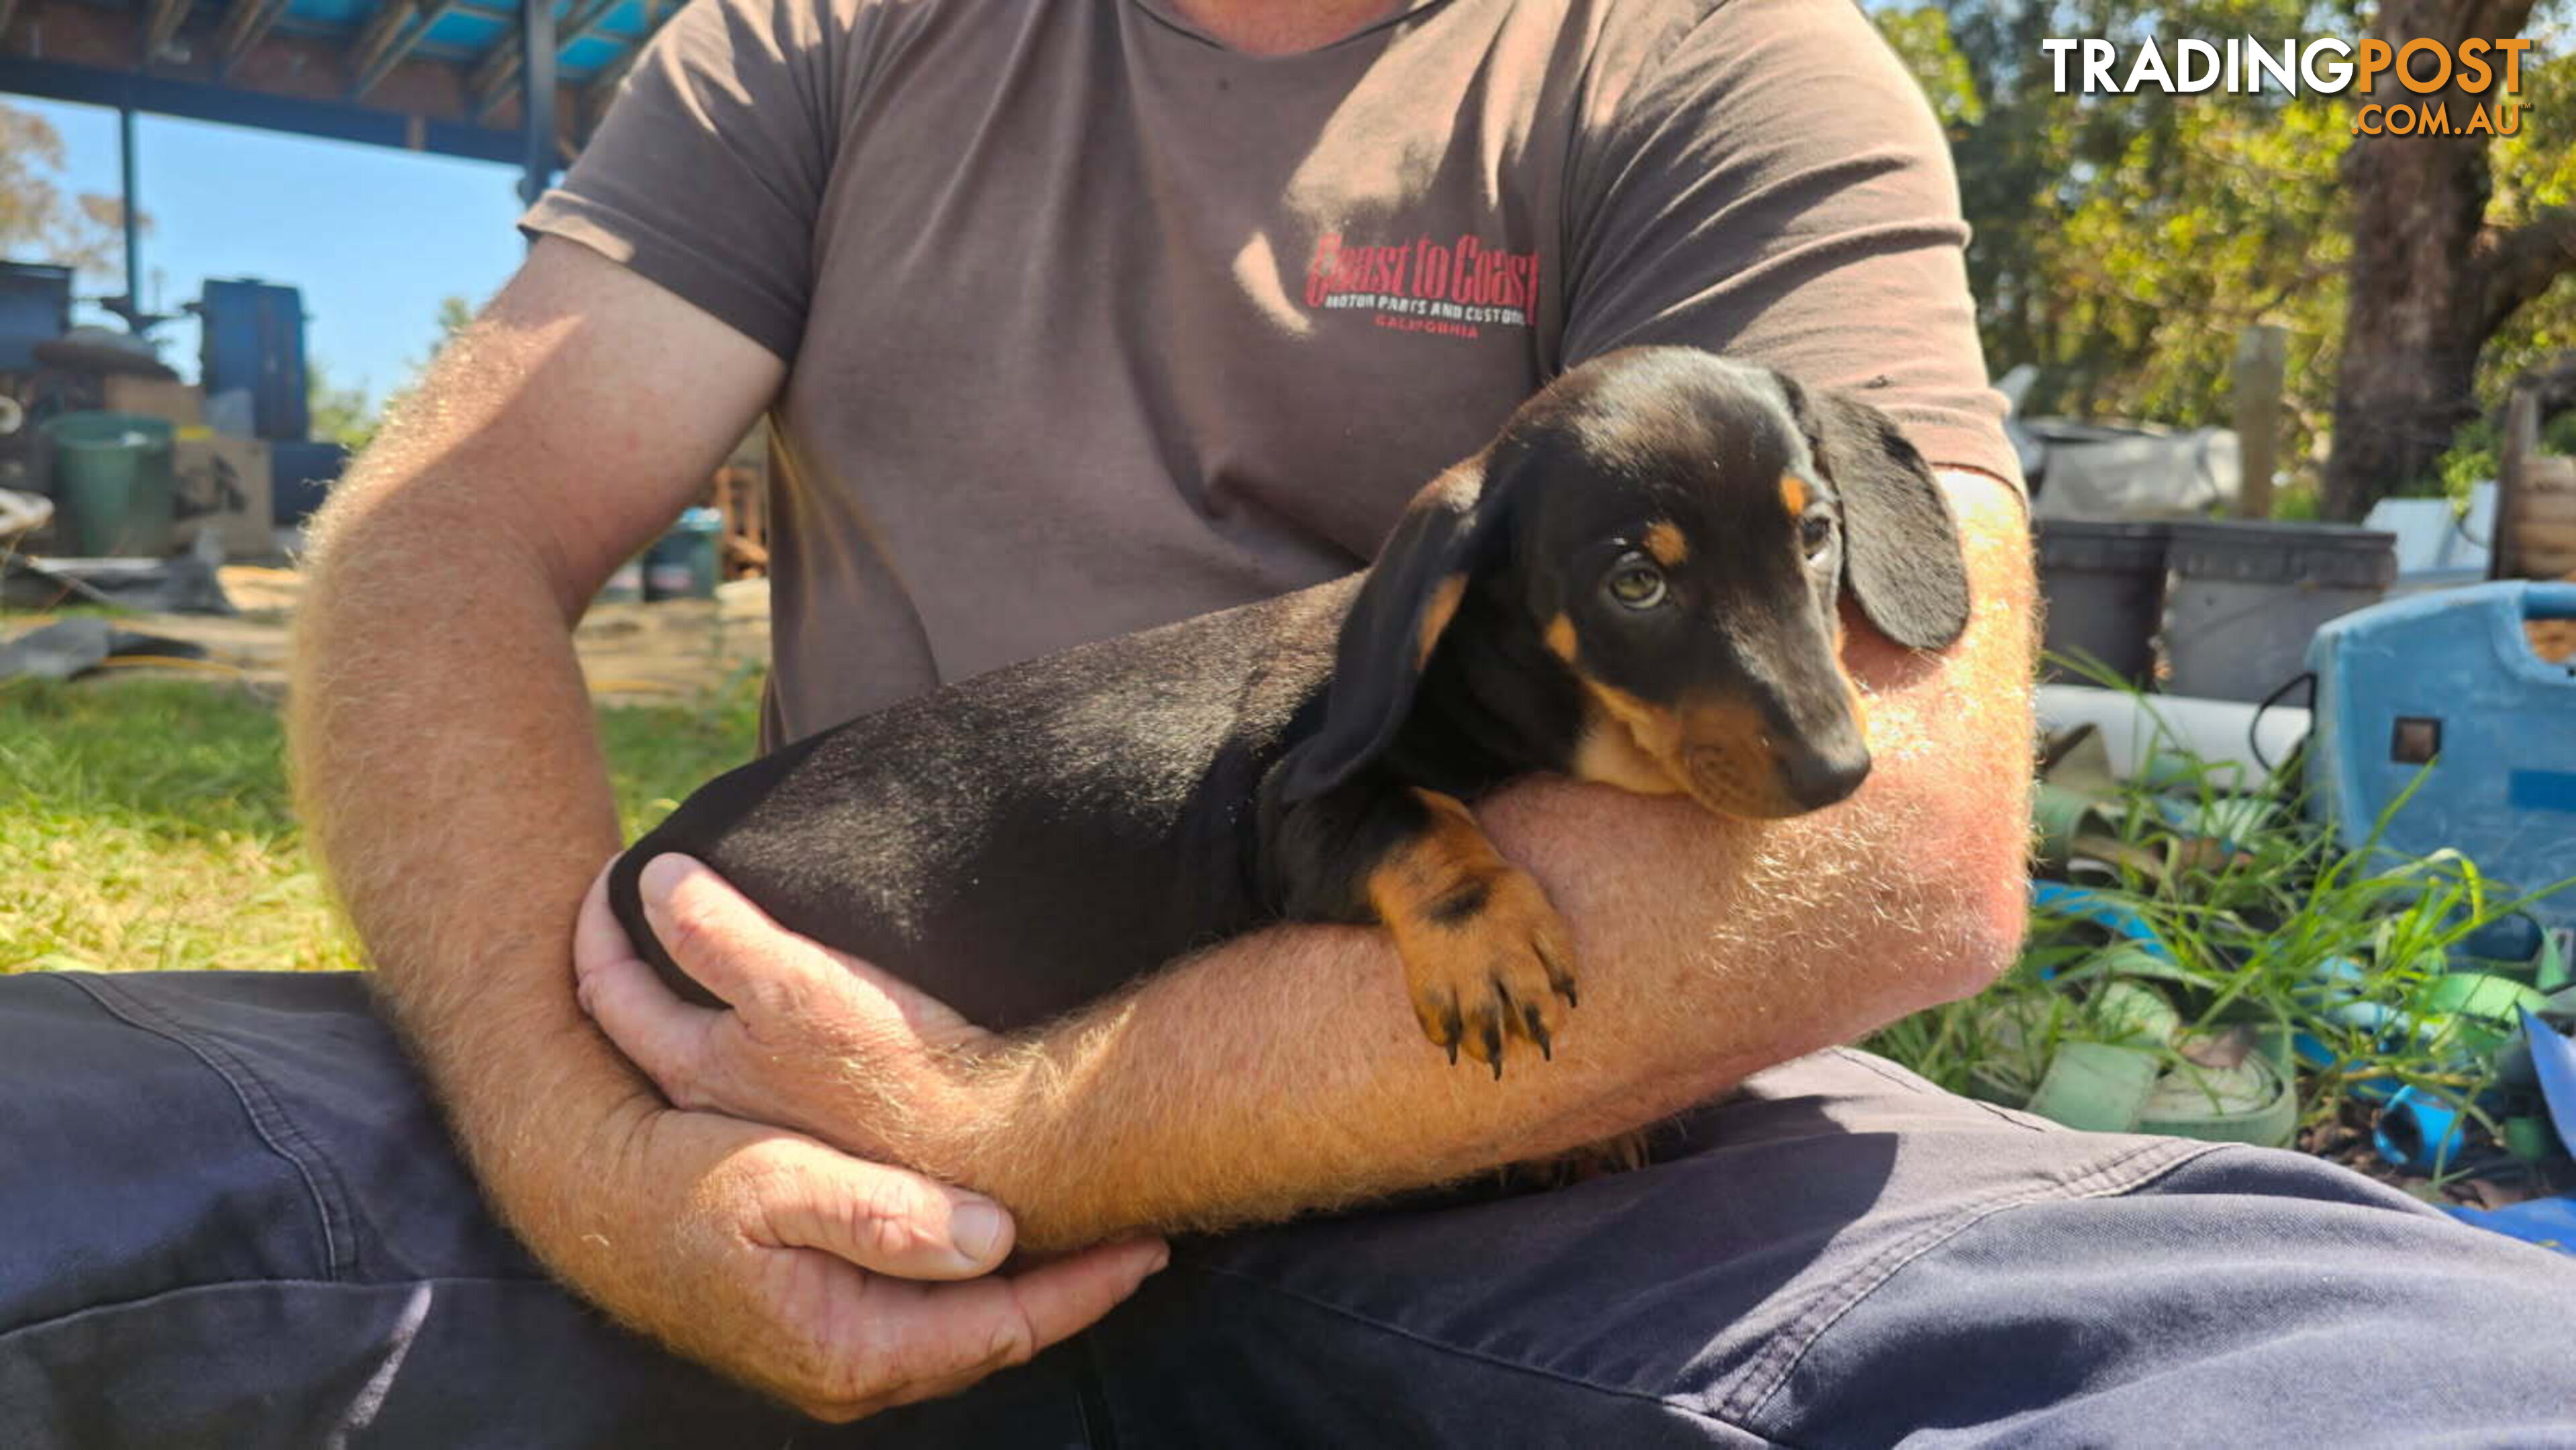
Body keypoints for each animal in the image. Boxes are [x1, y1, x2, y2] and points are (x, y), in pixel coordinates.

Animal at [607, 347, 1968, 1076]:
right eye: (1635, 582)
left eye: (1814, 534)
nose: (1838, 772)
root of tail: (637, 860)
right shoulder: (1288, 816)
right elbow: (1413, 817)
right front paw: (1488, 945)